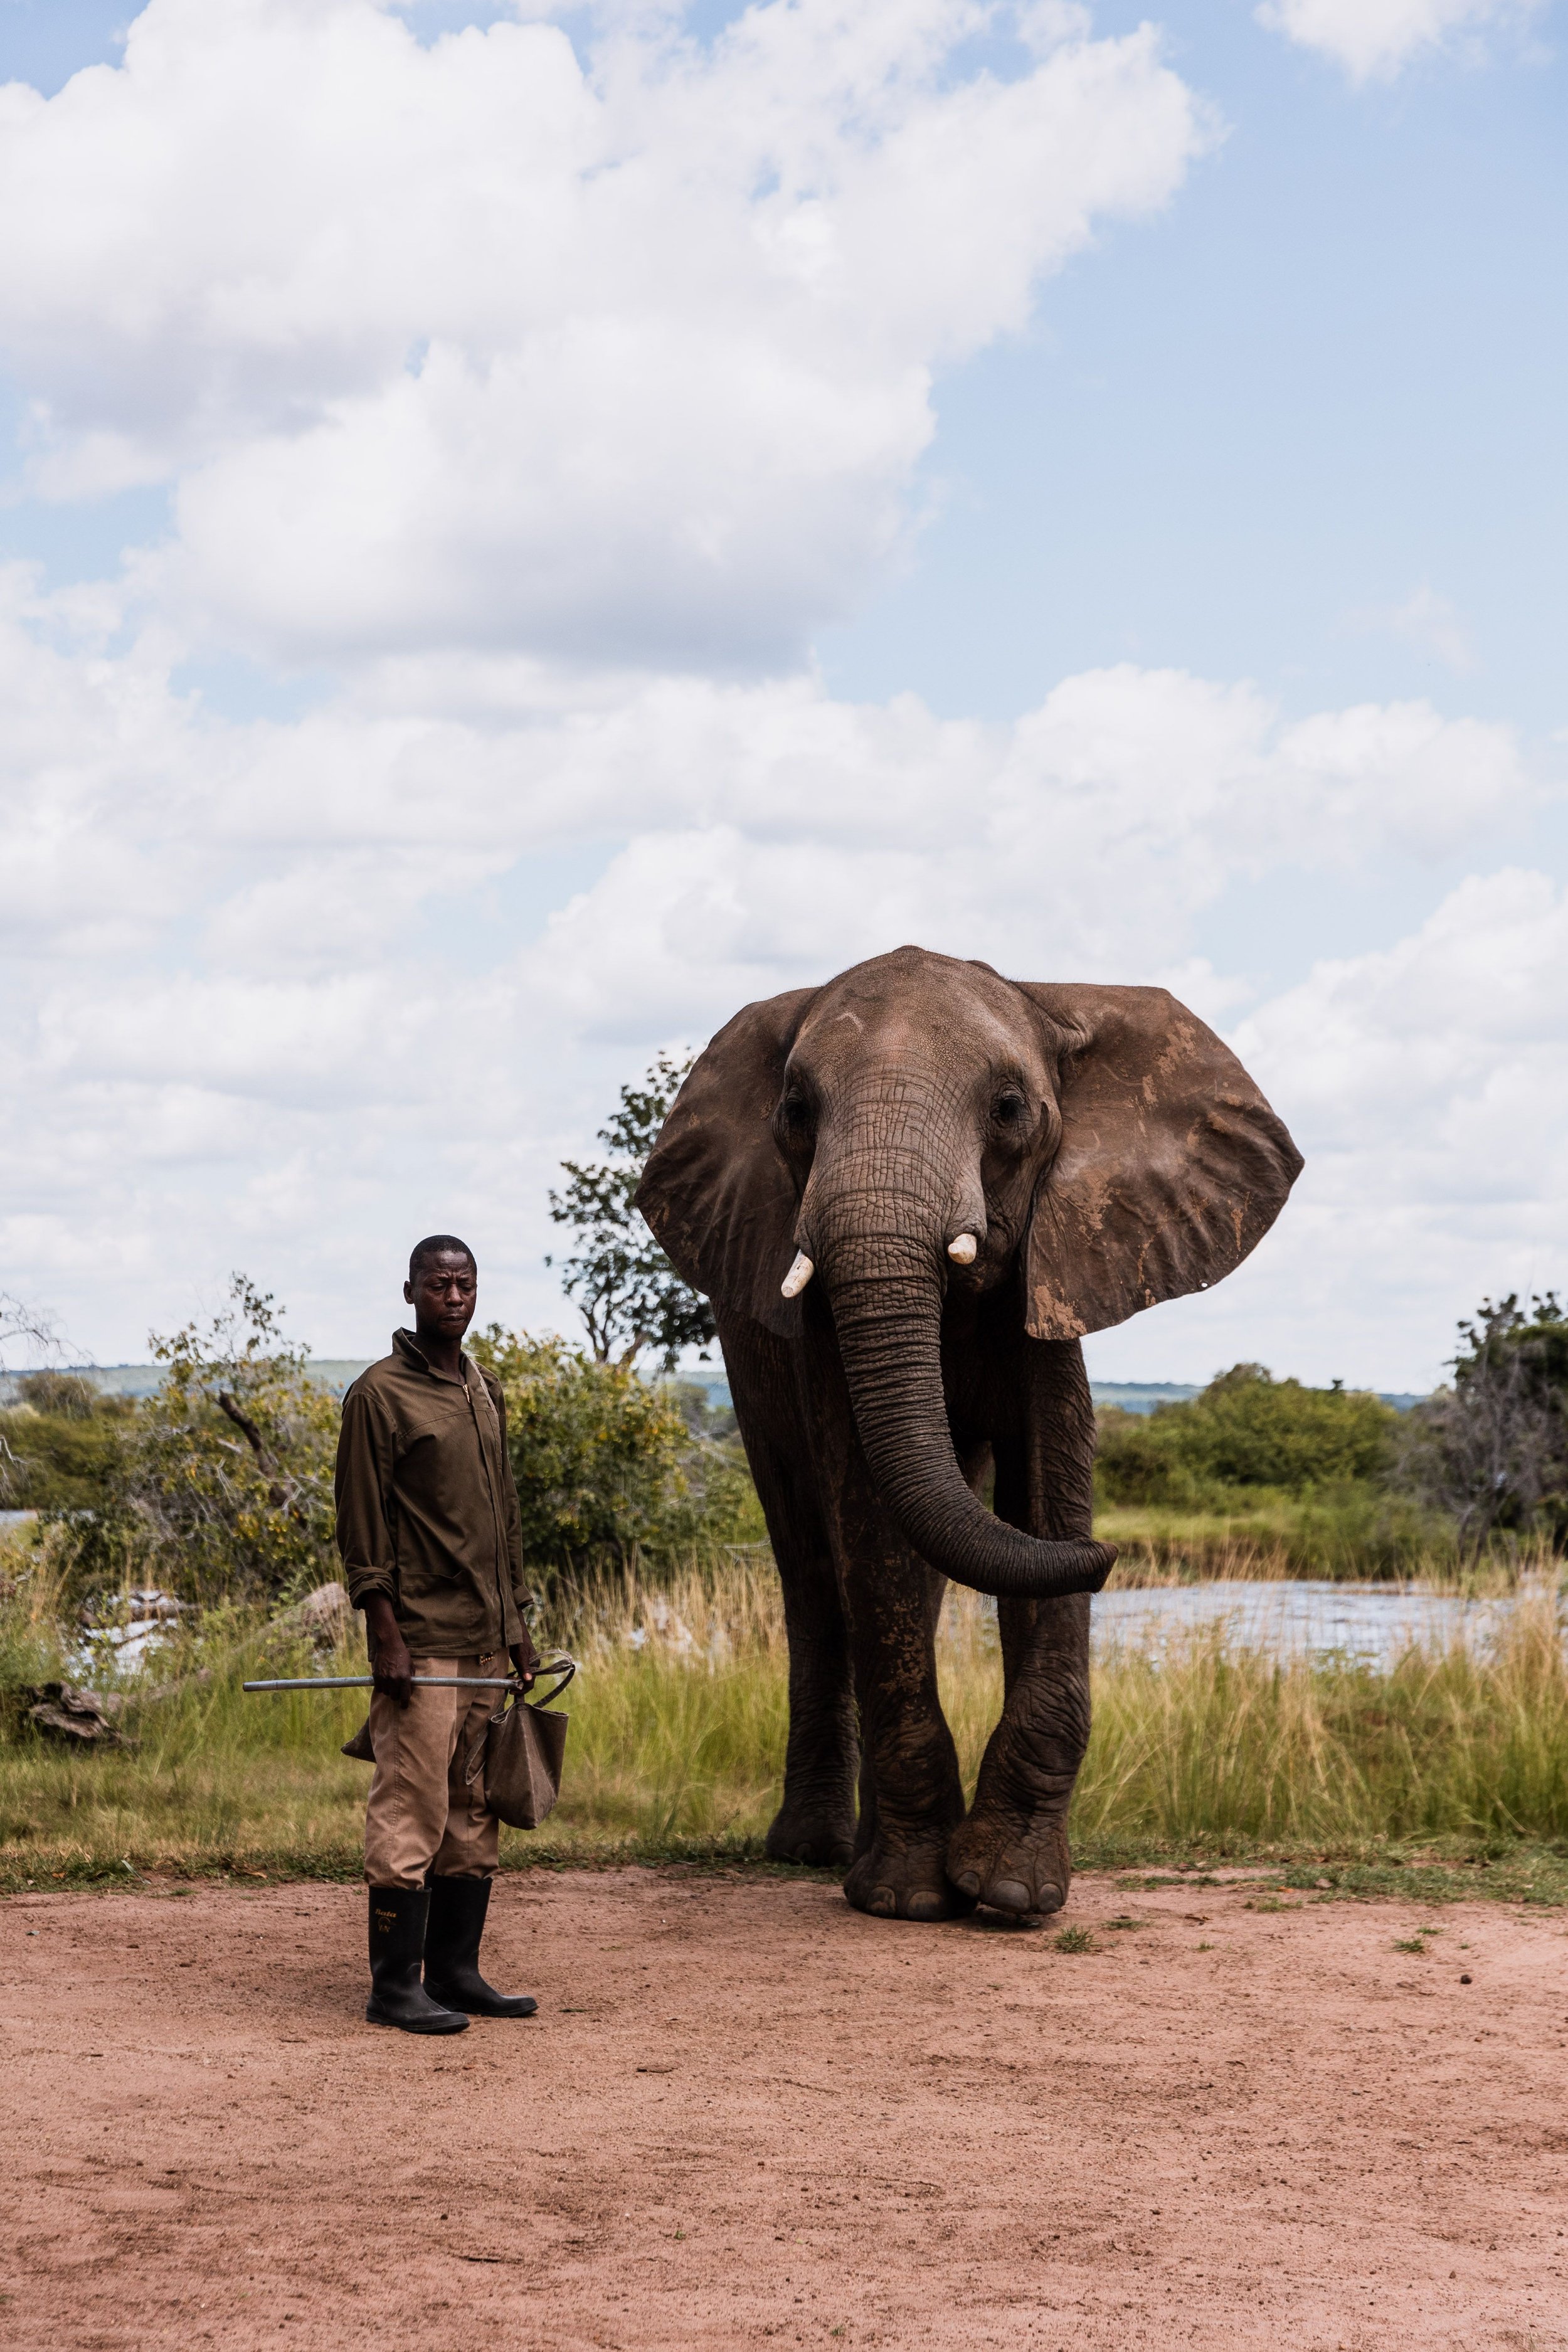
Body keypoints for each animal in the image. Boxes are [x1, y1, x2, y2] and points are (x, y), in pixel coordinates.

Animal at [636, 946, 1301, 1923]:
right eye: (795, 1111)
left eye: (1010, 1108)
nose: (1113, 1552)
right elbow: (868, 1516)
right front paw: (910, 1898)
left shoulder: (1061, 1264)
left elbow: (1042, 1492)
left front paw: (1013, 1889)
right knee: (813, 1566)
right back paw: (816, 1852)